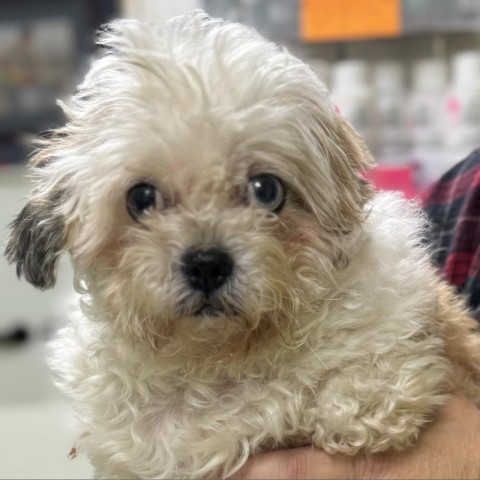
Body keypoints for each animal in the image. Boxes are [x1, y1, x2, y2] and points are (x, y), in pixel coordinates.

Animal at [5, 9, 480, 478]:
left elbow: (364, 373)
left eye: (266, 189)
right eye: (140, 198)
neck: (223, 360)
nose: (207, 263)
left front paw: (360, 409)